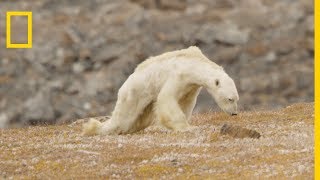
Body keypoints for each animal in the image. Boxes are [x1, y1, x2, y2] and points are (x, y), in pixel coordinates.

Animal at [84, 46, 239, 135]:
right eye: (230, 99)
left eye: (236, 99)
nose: (234, 113)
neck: (194, 62)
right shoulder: (178, 75)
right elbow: (166, 98)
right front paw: (187, 128)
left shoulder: (191, 86)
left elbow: (186, 103)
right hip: (134, 94)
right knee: (123, 120)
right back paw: (93, 128)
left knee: (139, 121)